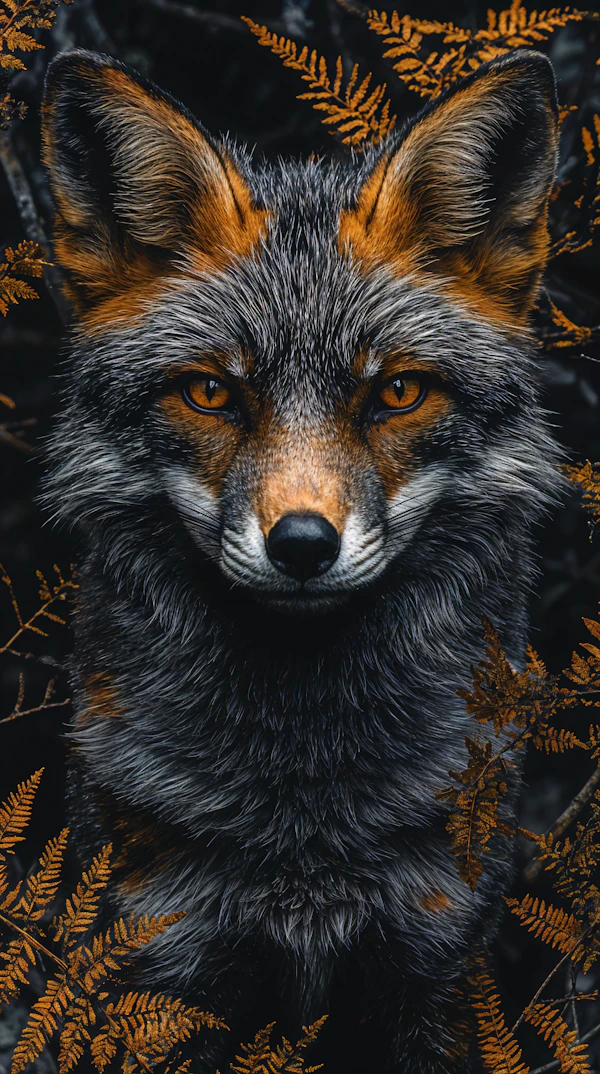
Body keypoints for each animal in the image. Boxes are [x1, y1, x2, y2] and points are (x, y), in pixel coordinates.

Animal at [40, 46, 561, 1073]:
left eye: (397, 393)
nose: (304, 546)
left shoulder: (437, 961)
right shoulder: (161, 959)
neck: (302, 825)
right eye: (211, 393)